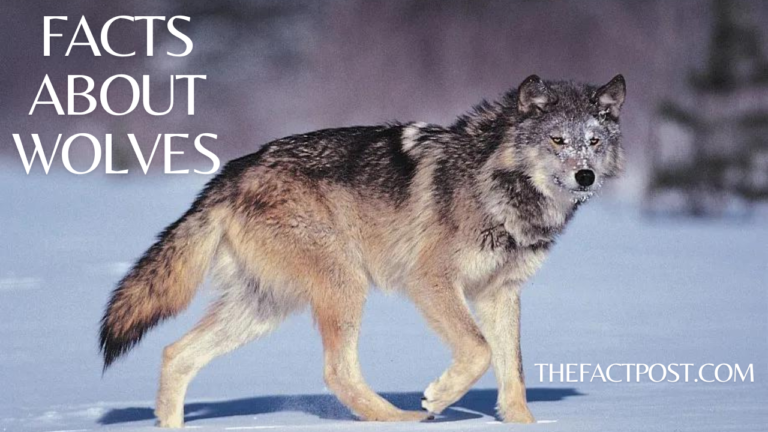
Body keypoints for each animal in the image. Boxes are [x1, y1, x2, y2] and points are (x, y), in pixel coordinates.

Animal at [99, 74, 625, 427]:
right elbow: (478, 350)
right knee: (336, 372)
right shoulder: (430, 281)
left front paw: (524, 424)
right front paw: (438, 398)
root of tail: (232, 172)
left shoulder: (501, 291)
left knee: (174, 353)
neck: (499, 187)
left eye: (593, 142)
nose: (585, 176)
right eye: (557, 140)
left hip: (264, 308)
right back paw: (401, 419)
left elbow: (511, 368)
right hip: (344, 284)